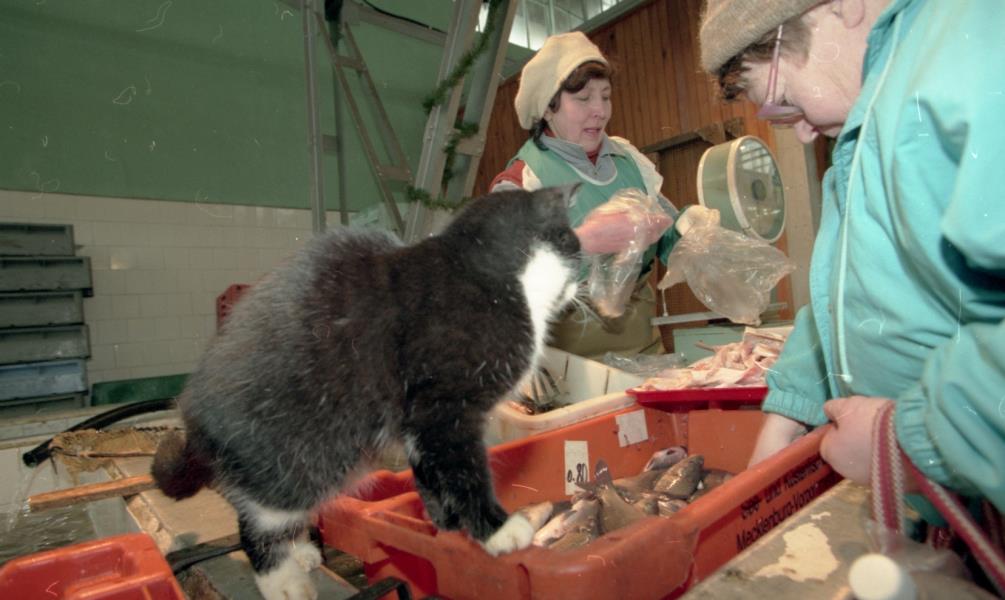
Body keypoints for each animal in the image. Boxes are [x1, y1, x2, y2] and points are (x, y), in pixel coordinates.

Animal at [152, 184, 582, 600]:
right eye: (573, 242)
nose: (582, 280)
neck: (488, 276)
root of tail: (193, 413)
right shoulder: (443, 410)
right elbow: (464, 472)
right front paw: (497, 531)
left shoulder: (418, 426)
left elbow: (429, 474)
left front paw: (443, 522)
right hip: (302, 456)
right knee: (256, 520)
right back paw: (283, 581)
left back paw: (303, 550)